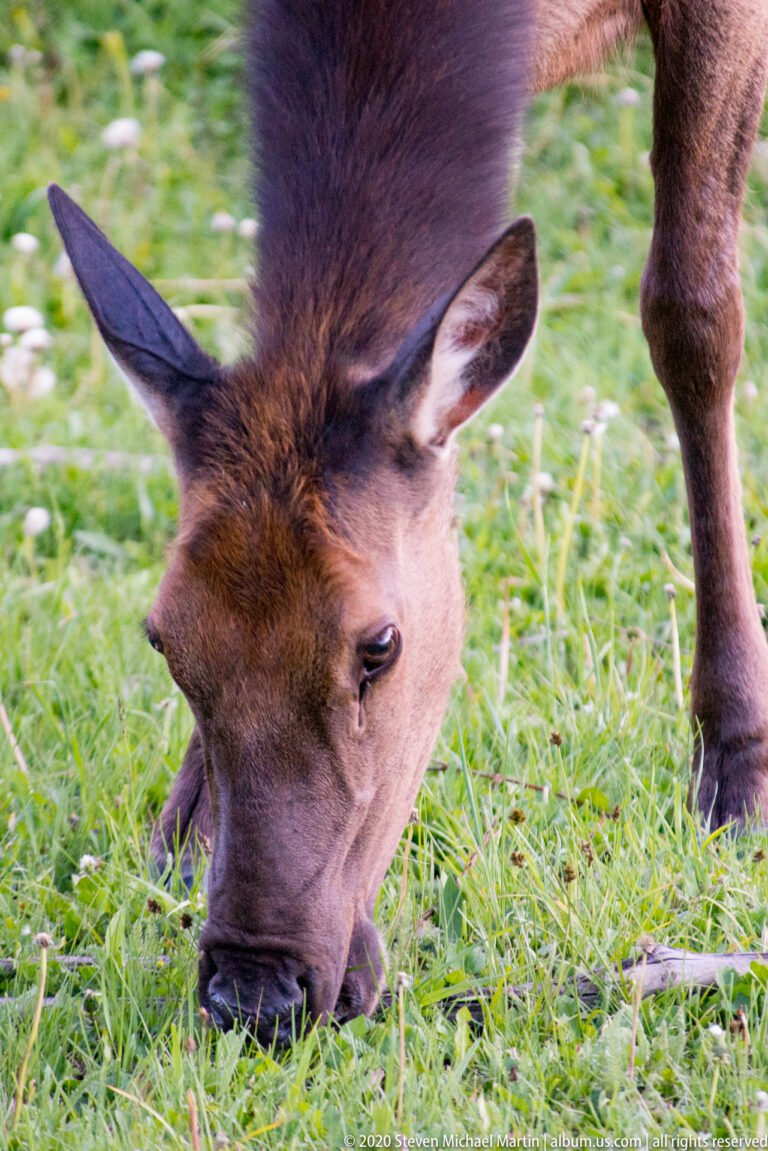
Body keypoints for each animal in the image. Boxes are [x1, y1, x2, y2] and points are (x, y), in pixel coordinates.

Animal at [48, 0, 768, 1046]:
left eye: (379, 646)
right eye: (165, 638)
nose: (257, 993)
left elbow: (694, 312)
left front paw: (738, 768)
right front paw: (184, 829)